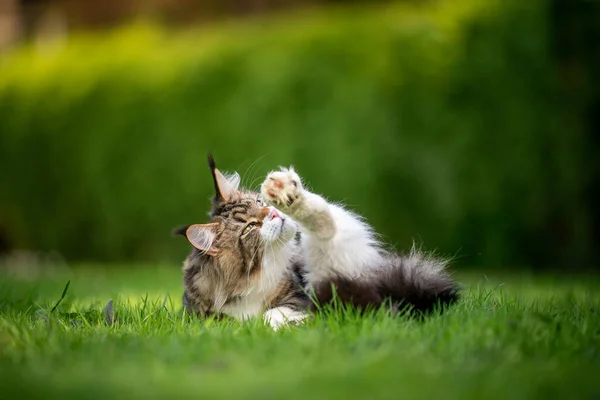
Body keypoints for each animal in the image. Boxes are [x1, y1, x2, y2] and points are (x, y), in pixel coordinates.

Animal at [177, 155, 460, 330]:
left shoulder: (297, 296)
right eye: (250, 226)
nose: (274, 213)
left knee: (327, 224)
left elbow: (272, 314)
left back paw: (287, 192)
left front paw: (291, 323)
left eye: (259, 203)